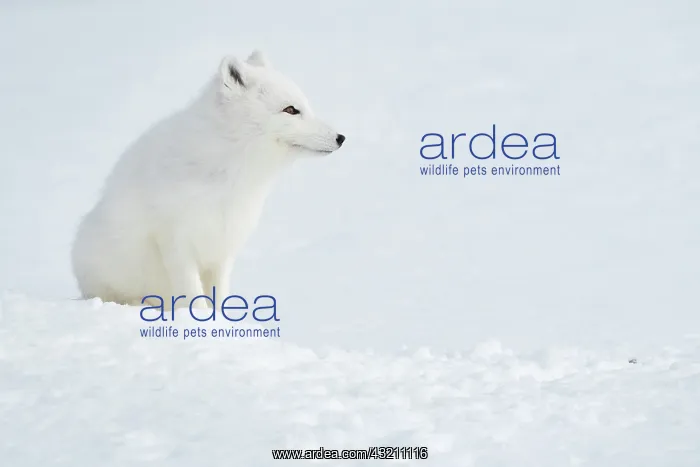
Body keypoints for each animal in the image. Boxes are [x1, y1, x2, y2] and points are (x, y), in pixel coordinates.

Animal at [71, 50, 345, 308]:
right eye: (291, 110)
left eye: (305, 106)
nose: (341, 137)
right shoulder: (176, 242)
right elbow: (195, 296)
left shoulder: (222, 249)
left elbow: (219, 295)